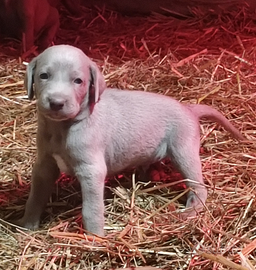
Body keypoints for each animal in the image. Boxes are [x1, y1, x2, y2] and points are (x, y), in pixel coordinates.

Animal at [17, 44, 245, 236]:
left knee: (198, 186)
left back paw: (190, 212)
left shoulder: (91, 171)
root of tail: (189, 109)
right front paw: (27, 225)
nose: (56, 102)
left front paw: (95, 238)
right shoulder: (44, 164)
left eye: (78, 81)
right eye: (44, 76)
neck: (62, 129)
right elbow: (35, 197)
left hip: (184, 151)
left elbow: (92, 208)